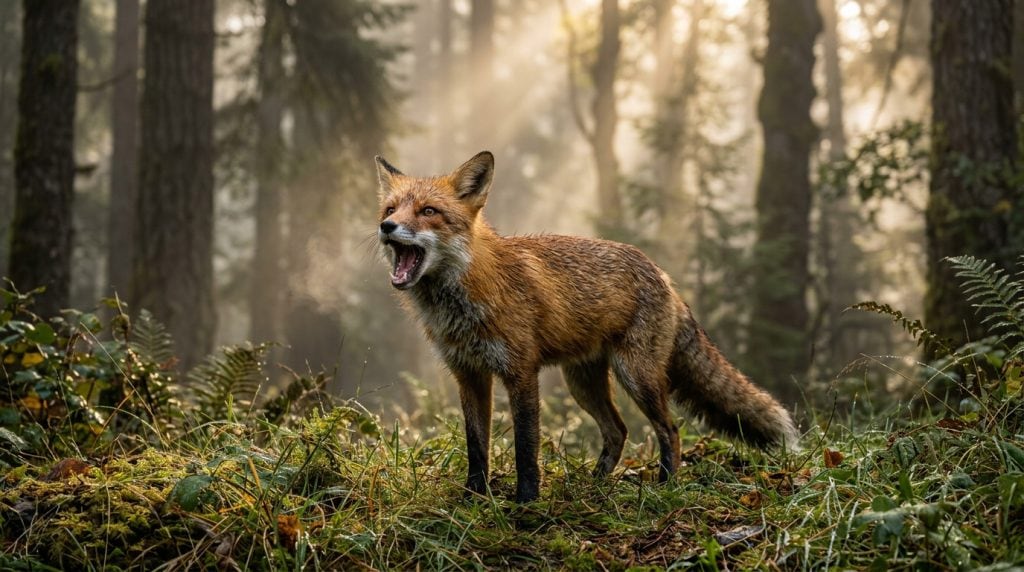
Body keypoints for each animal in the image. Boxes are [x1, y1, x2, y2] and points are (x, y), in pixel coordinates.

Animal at [374, 151, 800, 503]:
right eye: (390, 208)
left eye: (429, 211)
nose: (387, 227)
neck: (465, 299)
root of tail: (664, 276)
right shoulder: (469, 374)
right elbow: (476, 446)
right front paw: (472, 499)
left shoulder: (520, 371)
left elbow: (526, 446)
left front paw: (526, 502)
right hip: (582, 383)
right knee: (618, 431)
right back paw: (594, 485)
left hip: (636, 377)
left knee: (670, 429)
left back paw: (665, 486)